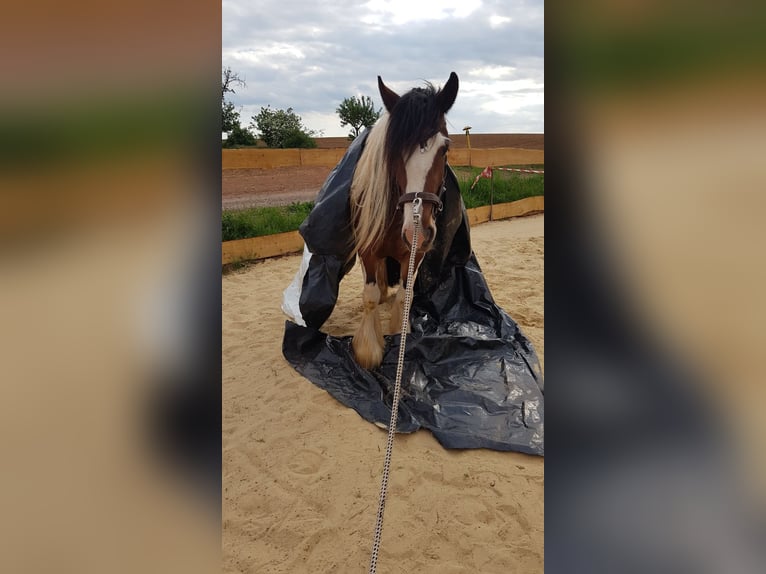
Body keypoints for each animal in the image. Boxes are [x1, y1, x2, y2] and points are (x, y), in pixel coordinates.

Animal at [352, 72, 460, 372]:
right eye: (393, 150)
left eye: (445, 149)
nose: (417, 232)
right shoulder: (367, 250)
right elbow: (370, 296)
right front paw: (369, 350)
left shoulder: (415, 255)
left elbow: (405, 294)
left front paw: (401, 333)